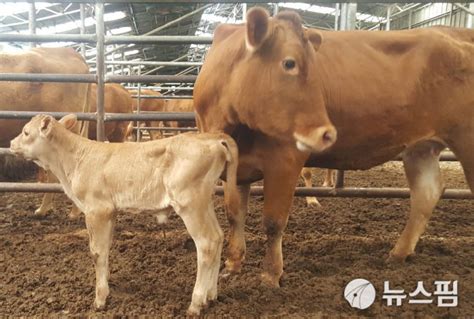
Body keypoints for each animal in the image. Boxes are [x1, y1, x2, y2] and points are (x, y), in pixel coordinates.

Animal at [10, 114, 241, 316]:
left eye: (26, 132)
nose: (11, 144)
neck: (74, 160)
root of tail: (213, 138)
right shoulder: (110, 211)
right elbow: (105, 249)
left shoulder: (97, 209)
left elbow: (96, 252)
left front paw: (100, 299)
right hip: (204, 202)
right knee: (218, 236)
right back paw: (211, 295)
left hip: (190, 203)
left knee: (206, 243)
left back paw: (196, 303)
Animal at [193, 7, 474, 288]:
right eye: (289, 63)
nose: (327, 133)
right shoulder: (236, 164)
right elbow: (234, 213)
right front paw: (232, 265)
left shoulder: (285, 159)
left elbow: (273, 222)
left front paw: (270, 276)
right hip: (420, 148)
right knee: (426, 194)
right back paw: (398, 253)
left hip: (465, 140)